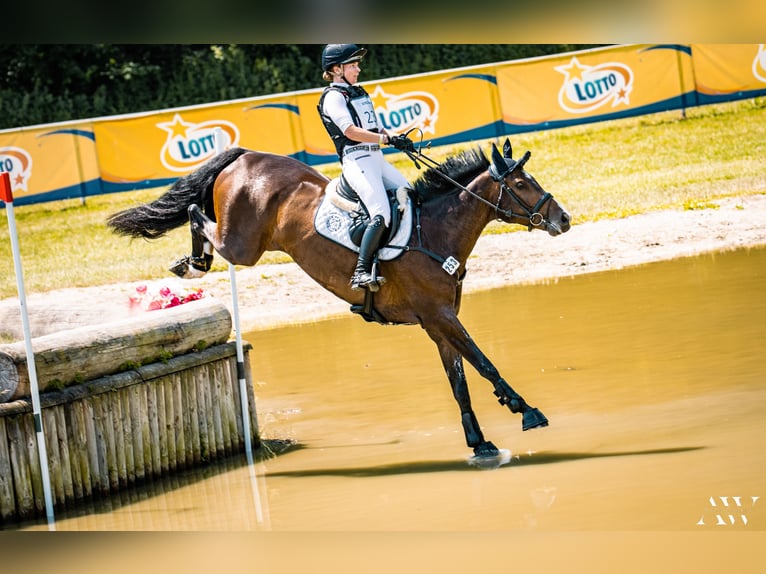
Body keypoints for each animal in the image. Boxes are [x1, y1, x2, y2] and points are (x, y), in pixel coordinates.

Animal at [109, 140, 576, 460]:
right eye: (521, 184)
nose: (564, 219)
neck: (436, 230)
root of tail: (244, 156)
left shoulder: (437, 323)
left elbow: (459, 380)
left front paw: (479, 444)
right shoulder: (440, 315)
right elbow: (483, 362)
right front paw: (525, 410)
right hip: (241, 246)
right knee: (195, 213)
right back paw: (194, 262)